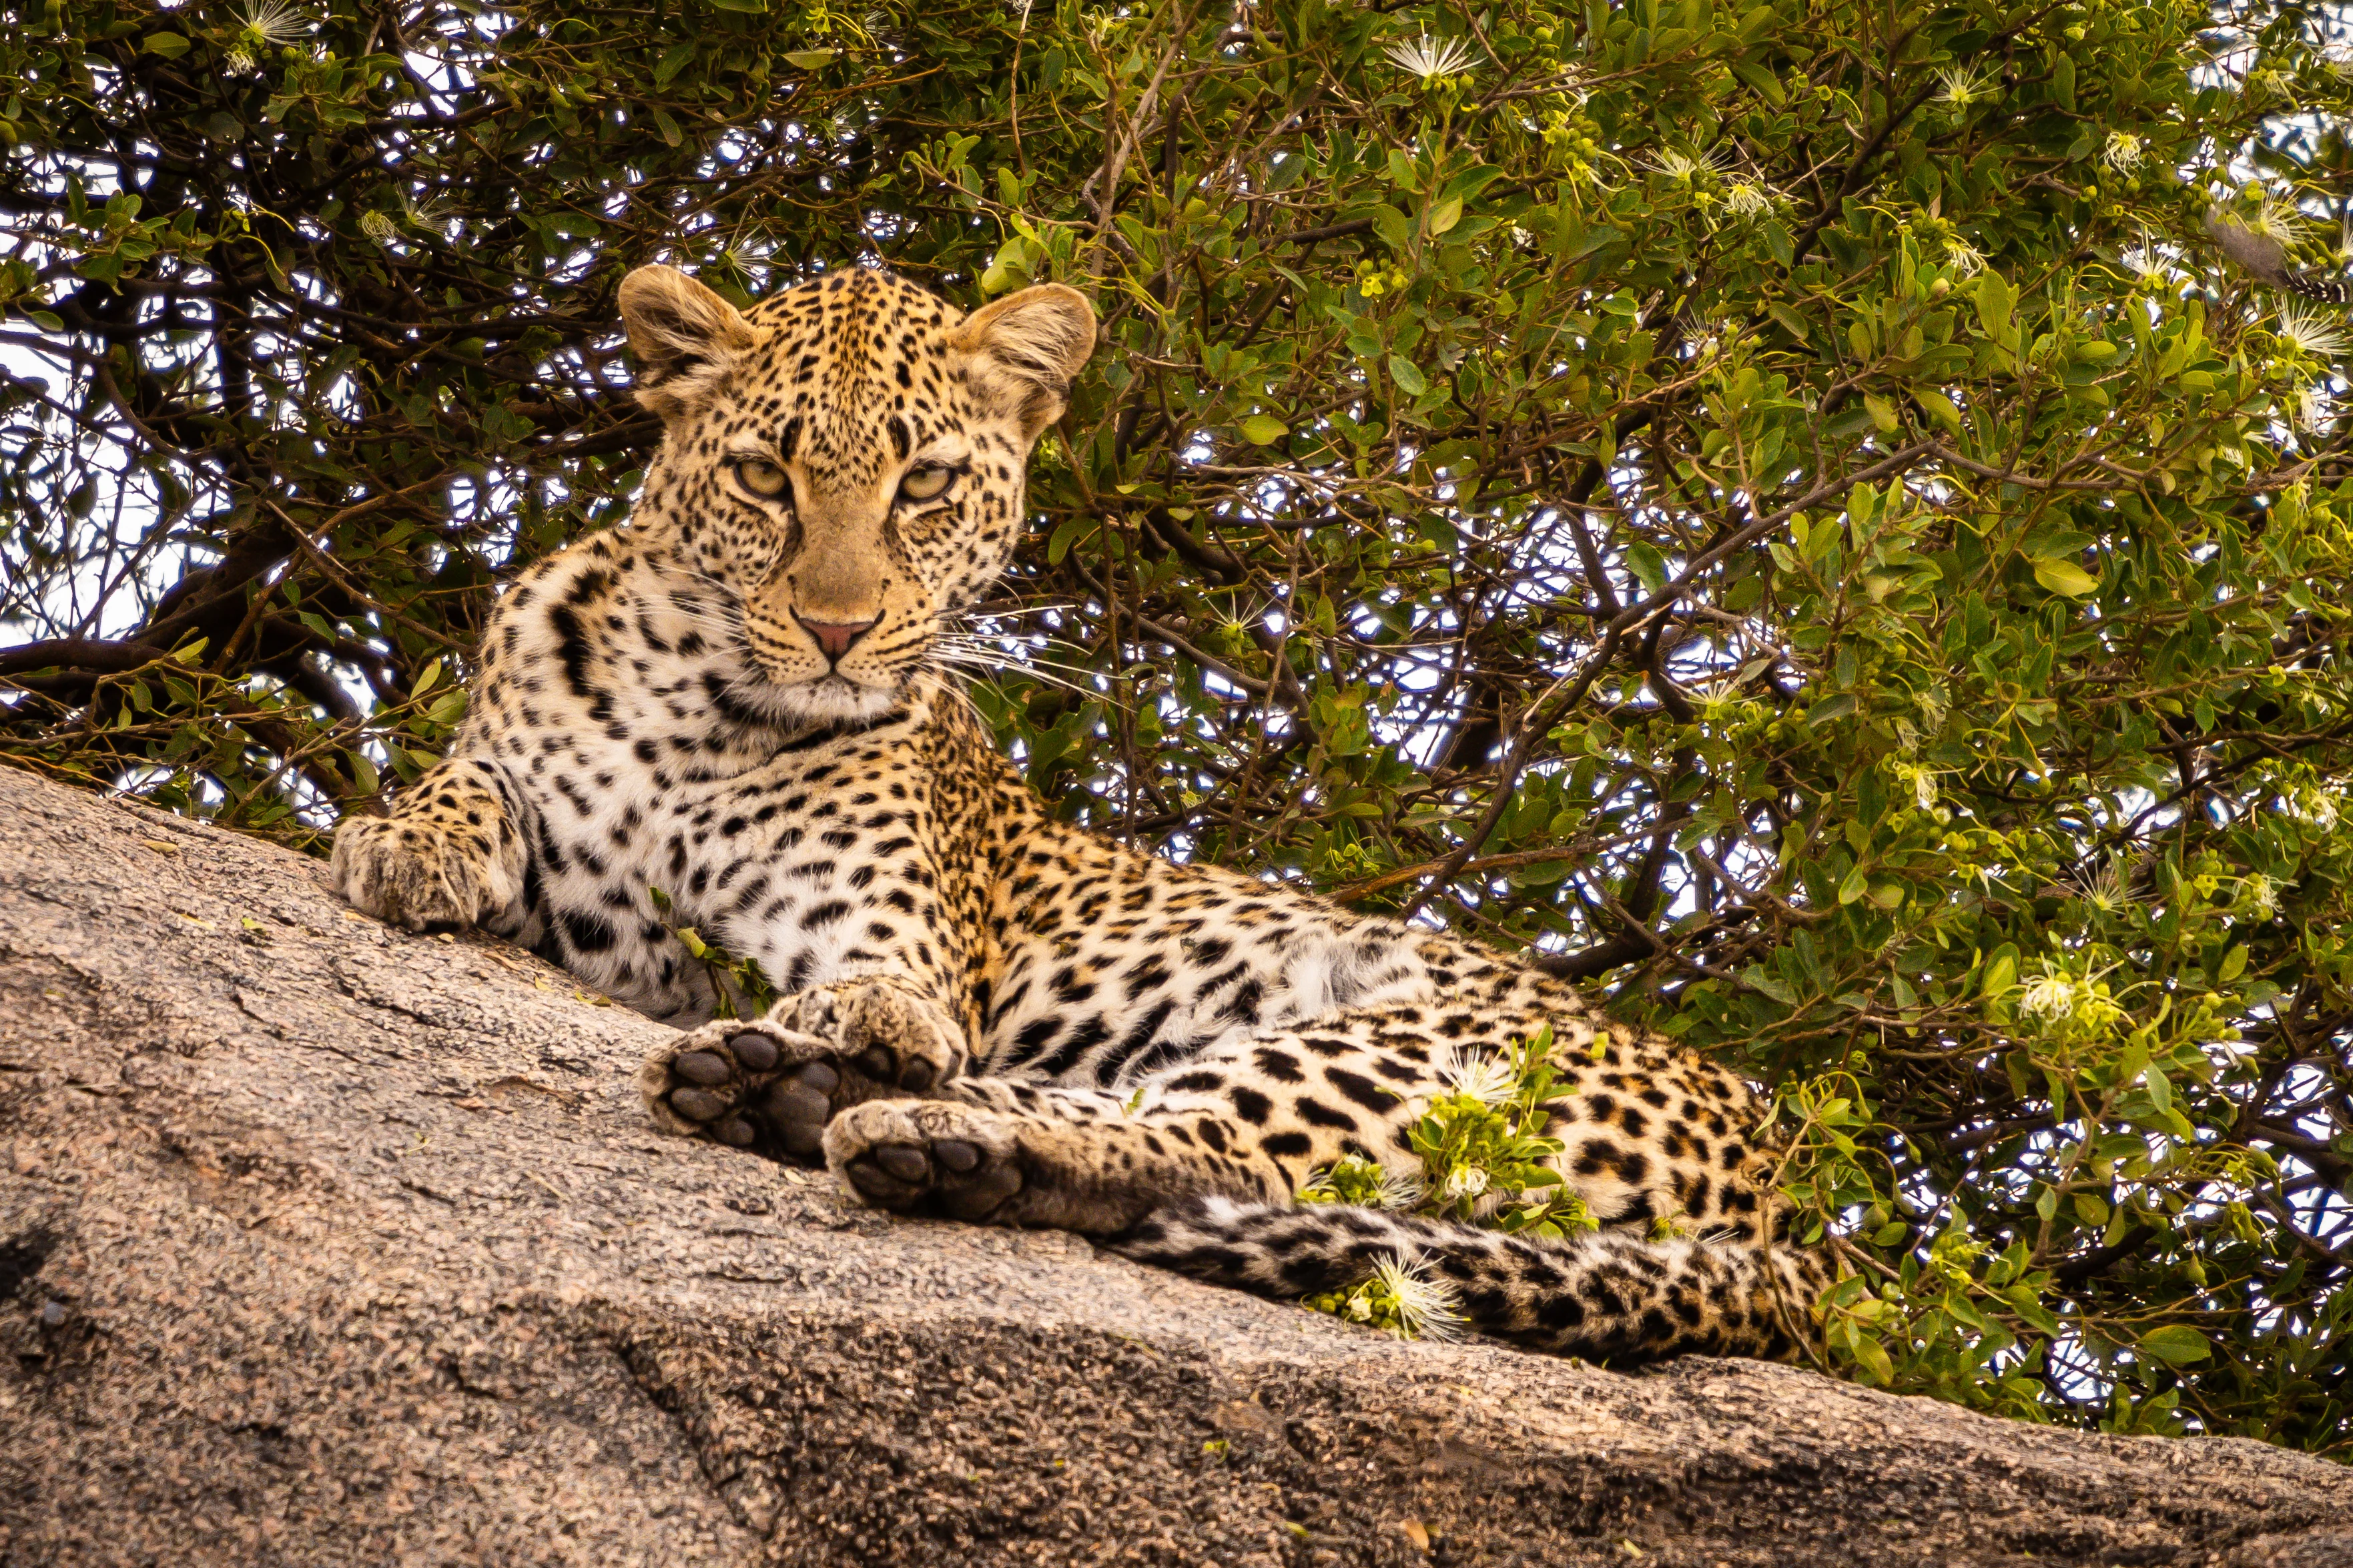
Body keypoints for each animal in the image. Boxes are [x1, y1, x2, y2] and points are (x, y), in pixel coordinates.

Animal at [332, 261, 1833, 1362]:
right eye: (765, 475)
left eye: (926, 483)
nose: (835, 630)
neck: (699, 708)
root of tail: (1794, 1195)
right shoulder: (584, 876)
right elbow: (474, 775)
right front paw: (405, 843)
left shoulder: (871, 930)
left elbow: (893, 980)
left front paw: (868, 1017)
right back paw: (792, 1090)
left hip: (1437, 1049)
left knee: (1207, 1147)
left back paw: (873, 1109)